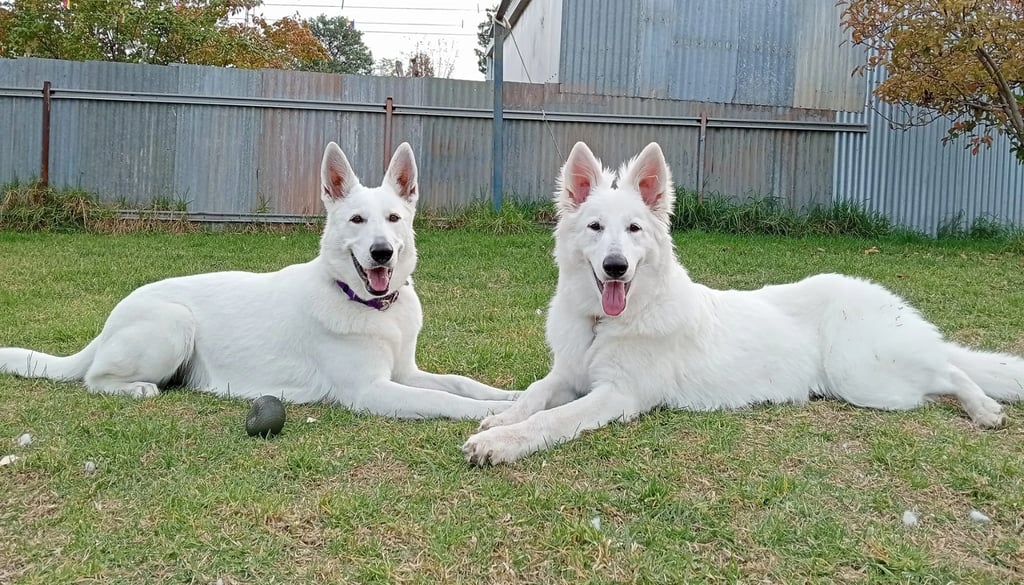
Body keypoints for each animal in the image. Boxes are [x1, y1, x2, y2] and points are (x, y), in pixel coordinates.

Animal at [0, 142, 516, 418]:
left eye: (393, 218)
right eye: (356, 220)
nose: (382, 252)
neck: (364, 304)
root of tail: (110, 321)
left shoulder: (405, 372)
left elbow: (459, 383)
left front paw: (509, 395)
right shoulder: (372, 391)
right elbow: (443, 400)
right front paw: (496, 414)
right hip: (174, 324)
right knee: (93, 378)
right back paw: (135, 388)